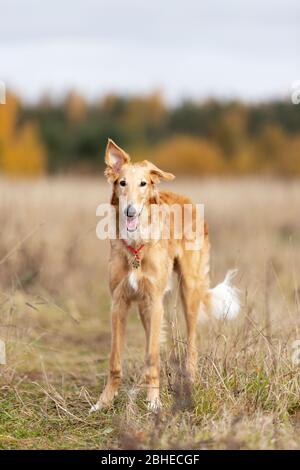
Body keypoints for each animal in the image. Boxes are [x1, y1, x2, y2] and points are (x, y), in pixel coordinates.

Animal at [90, 138, 240, 410]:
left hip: (188, 290)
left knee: (191, 342)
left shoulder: (155, 301)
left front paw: (153, 402)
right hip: (144, 307)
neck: (137, 243)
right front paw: (104, 401)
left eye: (143, 184)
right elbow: (115, 360)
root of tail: (188, 199)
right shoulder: (119, 302)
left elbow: (152, 357)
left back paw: (189, 378)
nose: (130, 212)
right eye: (122, 183)